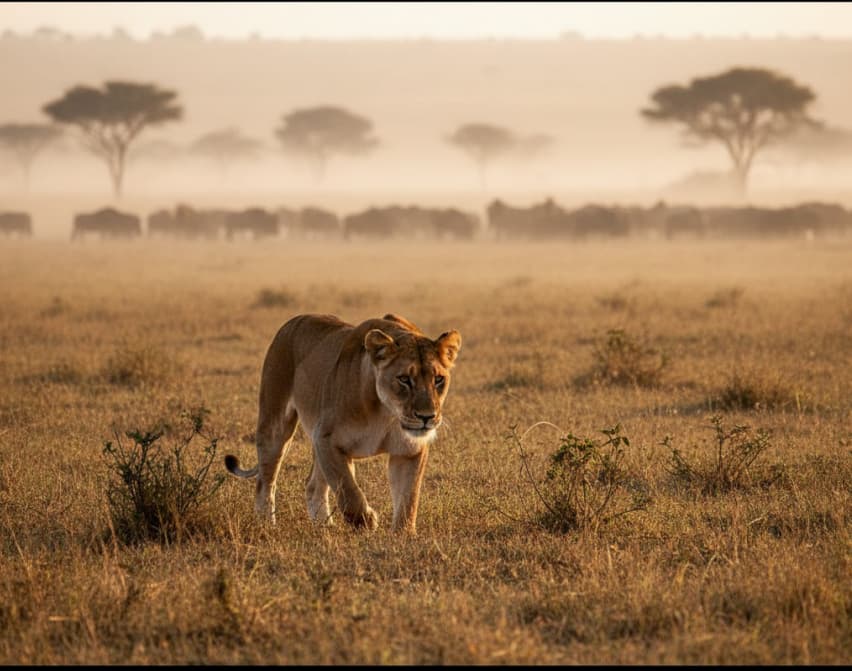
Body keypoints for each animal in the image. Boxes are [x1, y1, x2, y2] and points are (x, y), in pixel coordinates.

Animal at [224, 313, 461, 534]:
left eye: (438, 379)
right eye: (404, 379)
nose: (426, 417)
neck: (386, 413)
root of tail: (293, 320)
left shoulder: (409, 450)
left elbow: (408, 498)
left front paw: (403, 536)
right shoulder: (326, 439)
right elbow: (347, 490)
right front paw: (367, 522)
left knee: (313, 486)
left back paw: (325, 529)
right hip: (275, 423)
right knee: (265, 480)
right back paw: (267, 525)